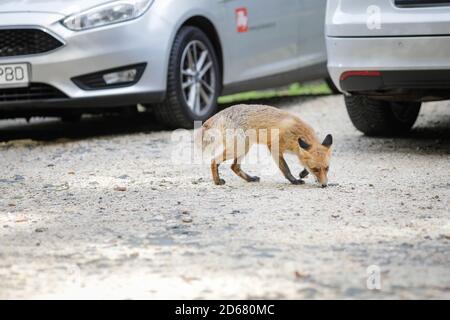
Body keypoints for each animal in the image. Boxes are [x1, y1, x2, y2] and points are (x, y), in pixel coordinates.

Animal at [198, 104, 334, 186]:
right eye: (315, 169)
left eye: (327, 168)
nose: (324, 185)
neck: (296, 132)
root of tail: (221, 112)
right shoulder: (274, 147)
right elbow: (286, 169)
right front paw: (294, 180)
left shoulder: (298, 151)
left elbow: (303, 162)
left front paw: (303, 173)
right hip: (239, 148)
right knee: (214, 160)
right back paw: (217, 181)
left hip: (244, 147)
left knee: (234, 166)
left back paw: (250, 179)